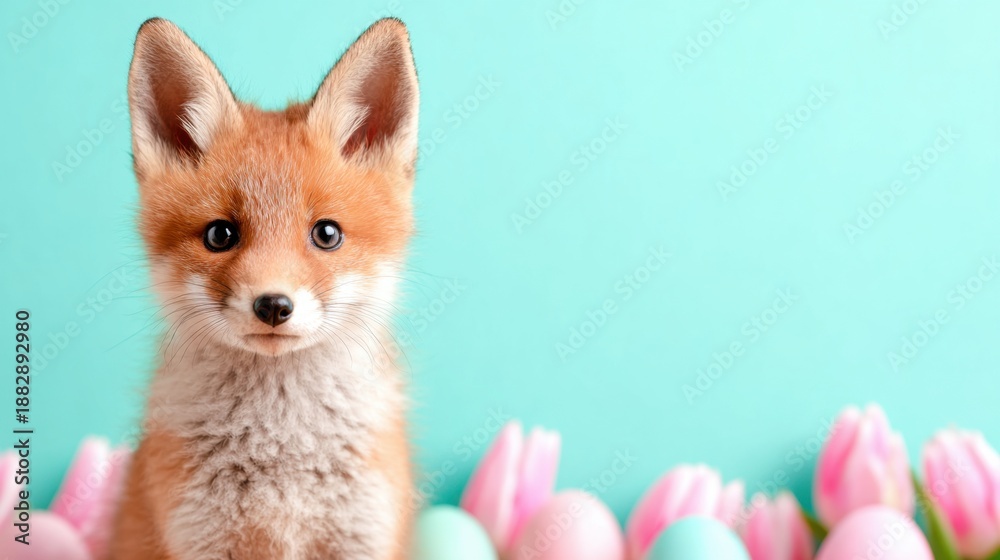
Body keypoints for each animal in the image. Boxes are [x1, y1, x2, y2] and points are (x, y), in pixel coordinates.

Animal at [109, 17, 419, 560]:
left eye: (327, 234)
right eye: (220, 235)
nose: (273, 305)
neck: (281, 449)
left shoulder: (362, 537)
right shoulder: (200, 539)